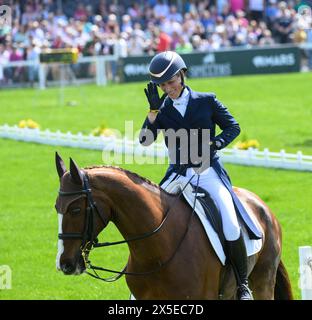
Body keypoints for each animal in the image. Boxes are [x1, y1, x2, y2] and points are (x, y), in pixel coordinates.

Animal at [54, 152, 292, 300]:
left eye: (75, 210)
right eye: (57, 207)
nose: (65, 264)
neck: (157, 250)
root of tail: (261, 204)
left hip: (262, 280)